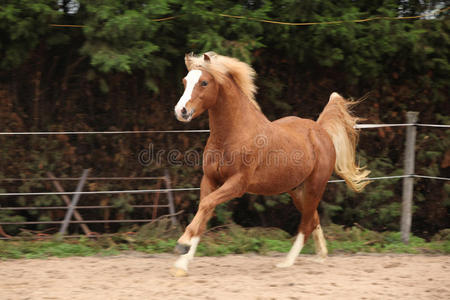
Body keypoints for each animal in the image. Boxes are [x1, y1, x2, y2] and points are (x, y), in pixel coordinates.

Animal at [171, 52, 370, 276]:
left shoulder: (237, 184)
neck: (233, 135)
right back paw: (321, 255)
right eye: (185, 81)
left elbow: (206, 205)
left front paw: (182, 244)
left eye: (204, 82)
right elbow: (204, 211)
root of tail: (320, 130)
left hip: (315, 186)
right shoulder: (210, 179)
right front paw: (182, 263)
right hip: (296, 190)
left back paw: (286, 262)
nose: (181, 111)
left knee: (306, 224)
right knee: (313, 219)